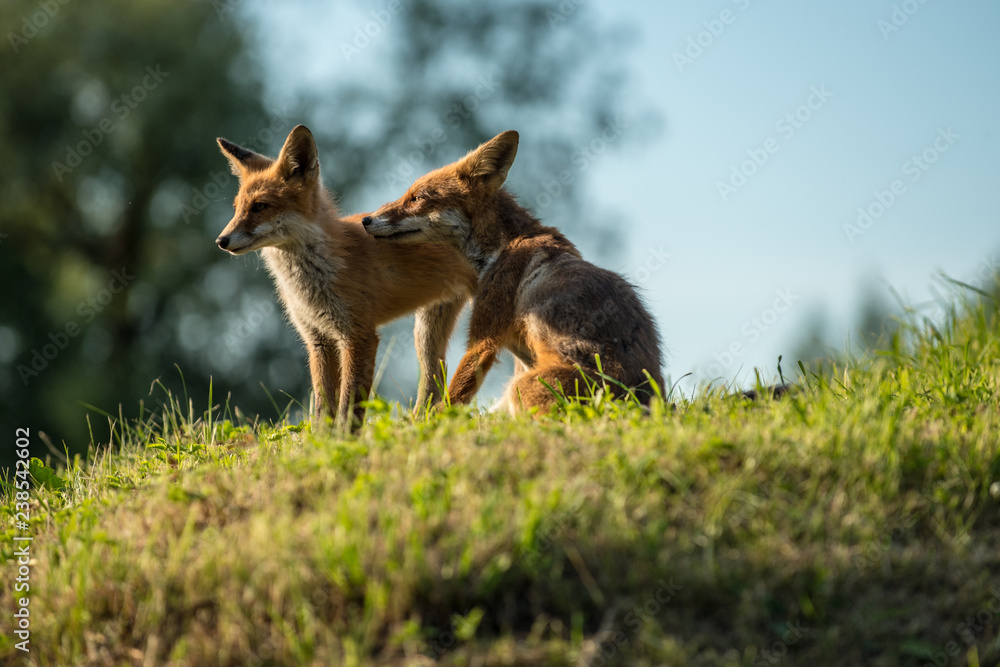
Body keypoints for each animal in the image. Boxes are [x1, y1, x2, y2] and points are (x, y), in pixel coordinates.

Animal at [215, 125, 476, 429]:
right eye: (236, 207)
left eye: (260, 206)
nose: (221, 241)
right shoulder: (318, 340)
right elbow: (322, 407)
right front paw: (320, 441)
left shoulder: (359, 335)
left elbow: (349, 407)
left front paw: (345, 439)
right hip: (427, 330)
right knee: (433, 381)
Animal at [362, 130, 664, 412]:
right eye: (407, 196)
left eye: (417, 199)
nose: (366, 220)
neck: (500, 246)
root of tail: (645, 401)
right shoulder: (518, 353)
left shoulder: (485, 339)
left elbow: (453, 396)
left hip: (524, 388)